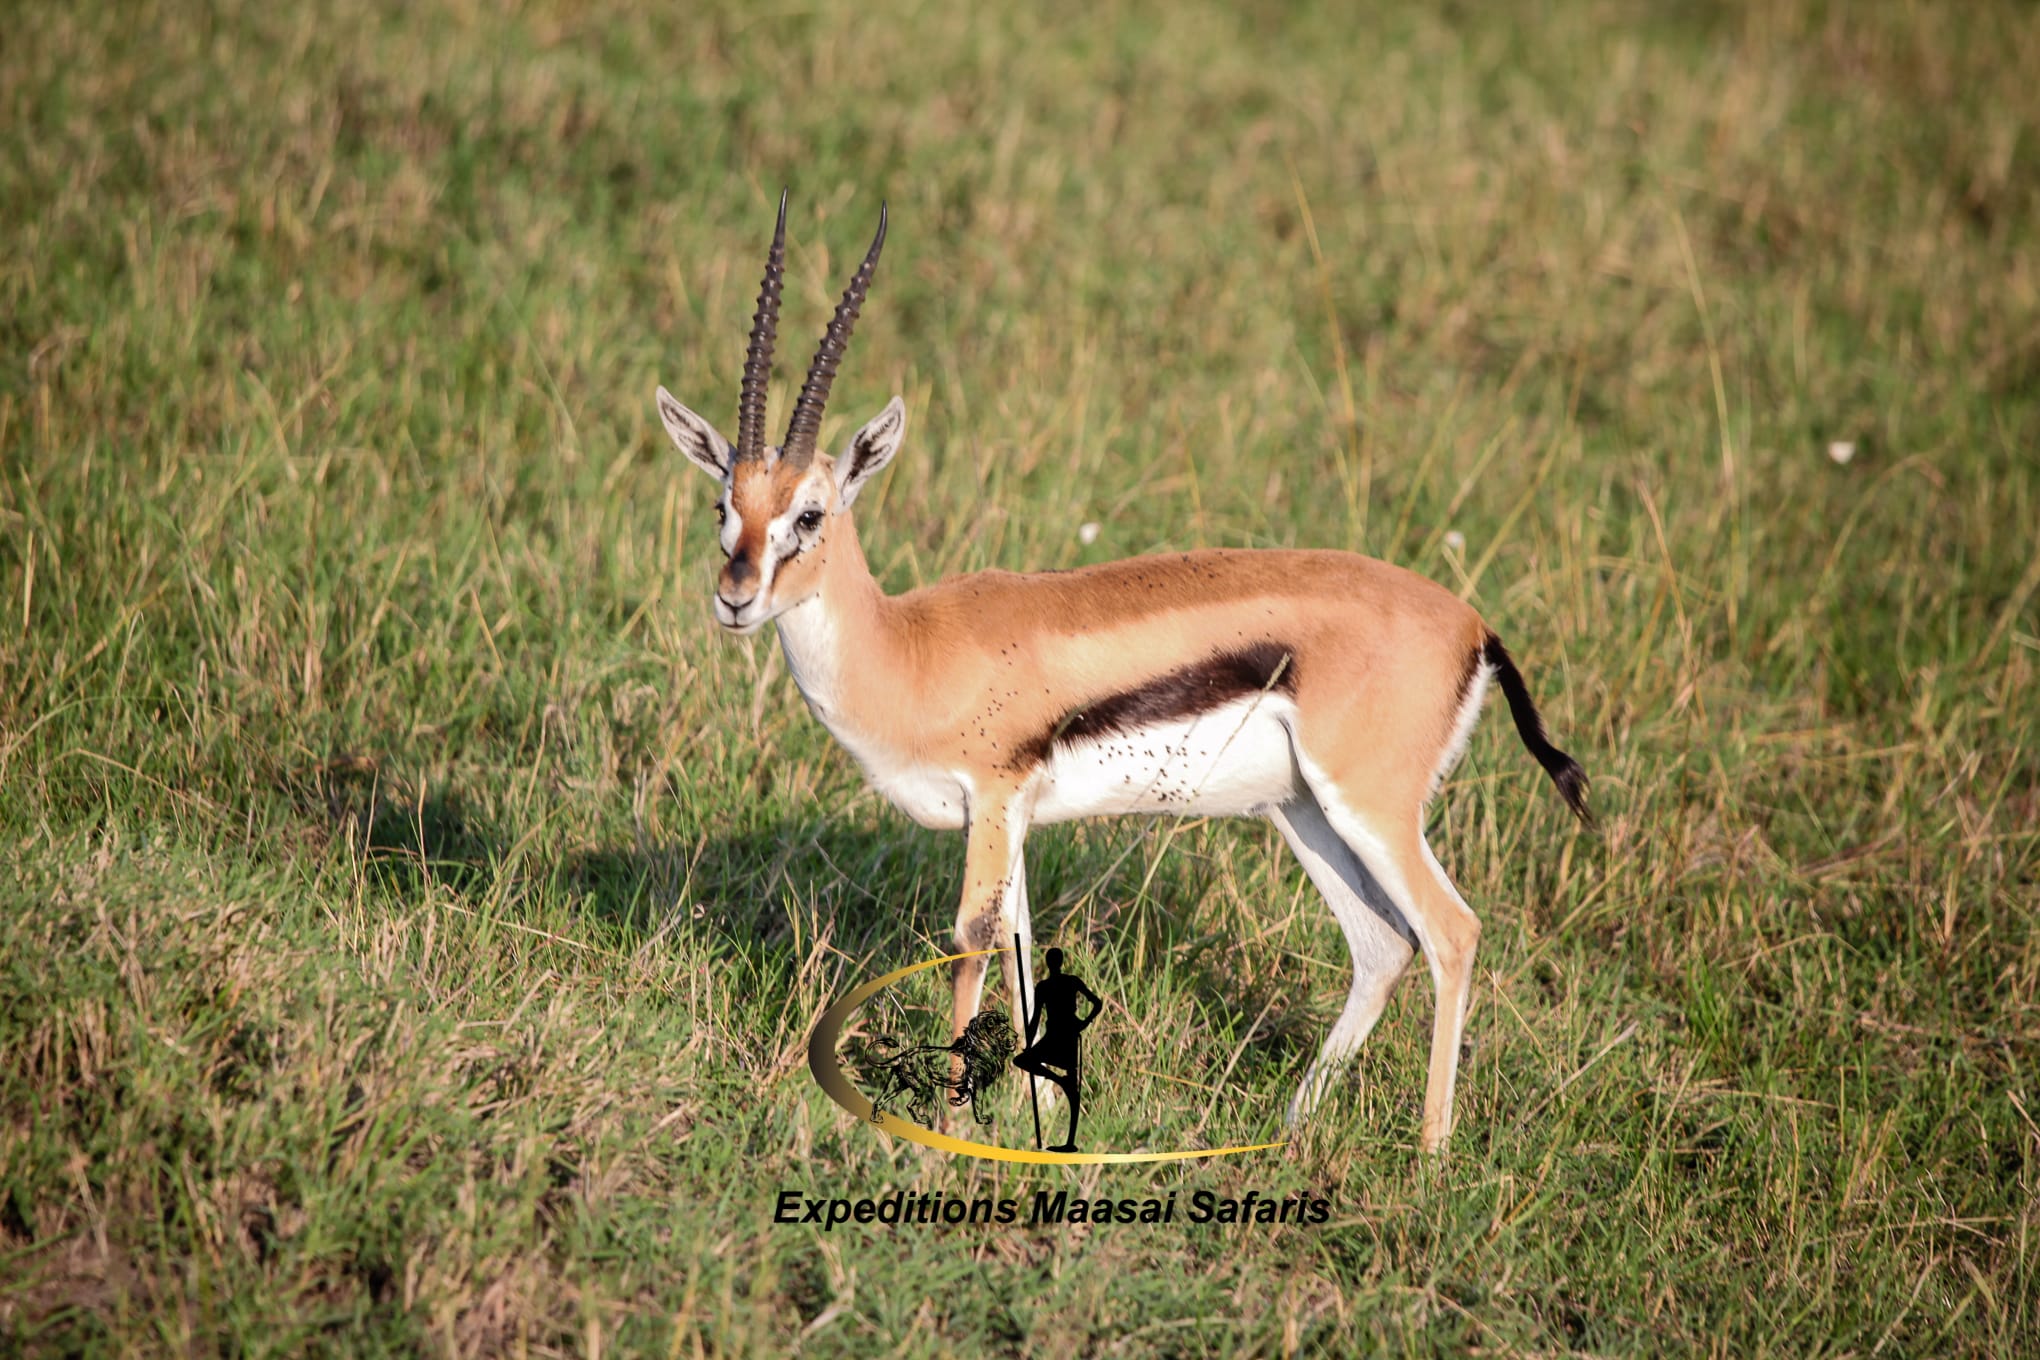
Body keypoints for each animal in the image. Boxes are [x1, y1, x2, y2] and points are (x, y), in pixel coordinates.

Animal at [655, 194, 1591, 1150]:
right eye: (725, 504)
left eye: (810, 513)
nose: (735, 597)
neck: (910, 647)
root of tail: (1475, 628)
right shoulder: (1012, 821)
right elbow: (1021, 945)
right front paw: (1038, 1115)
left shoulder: (992, 799)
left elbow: (973, 936)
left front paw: (949, 1132)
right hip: (1302, 810)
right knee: (1382, 944)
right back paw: (1289, 1128)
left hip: (1370, 807)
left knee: (1451, 932)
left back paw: (1430, 1152)